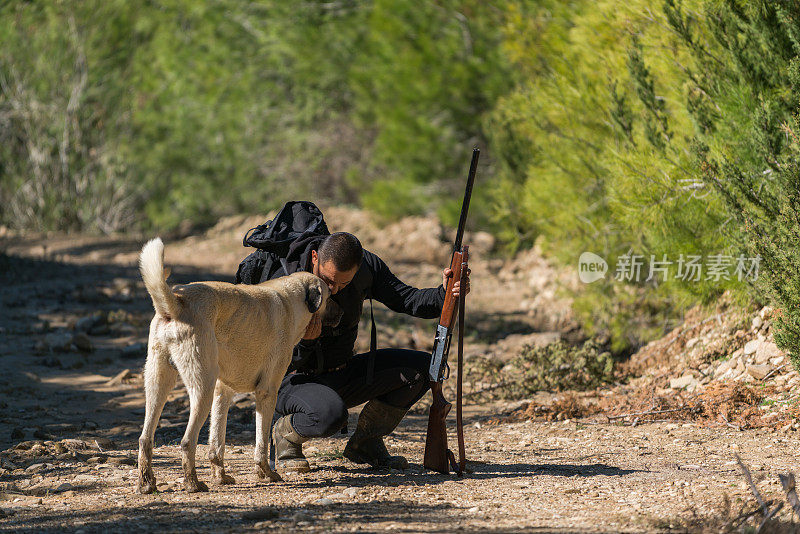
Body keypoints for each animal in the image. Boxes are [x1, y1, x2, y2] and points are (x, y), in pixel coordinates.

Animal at [135, 241, 334, 496]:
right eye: (331, 295)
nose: (344, 314)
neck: (290, 299)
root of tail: (176, 303)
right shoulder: (266, 392)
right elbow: (261, 443)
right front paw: (266, 473)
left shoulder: (223, 392)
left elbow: (216, 444)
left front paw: (220, 476)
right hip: (202, 389)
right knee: (187, 441)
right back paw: (192, 483)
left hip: (158, 385)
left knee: (145, 439)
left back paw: (146, 483)